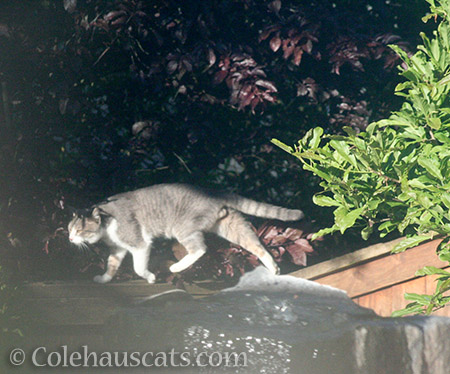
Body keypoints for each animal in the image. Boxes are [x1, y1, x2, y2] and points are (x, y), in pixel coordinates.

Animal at [67, 183, 304, 284]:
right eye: (70, 229)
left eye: (79, 229)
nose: (69, 238)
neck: (107, 222)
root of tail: (213, 192)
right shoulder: (118, 249)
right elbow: (112, 265)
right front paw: (104, 279)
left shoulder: (139, 242)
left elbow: (138, 268)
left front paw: (150, 277)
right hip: (231, 226)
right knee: (256, 245)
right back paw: (273, 268)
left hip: (182, 227)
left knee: (199, 249)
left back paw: (175, 267)